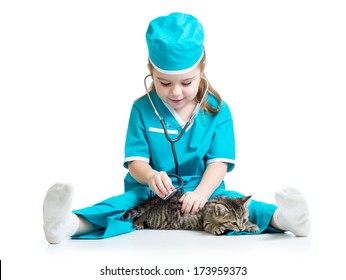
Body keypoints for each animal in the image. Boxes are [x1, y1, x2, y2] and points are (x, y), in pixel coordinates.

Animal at [123, 191, 258, 235]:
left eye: (244, 220)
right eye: (233, 223)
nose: (240, 229)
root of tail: (158, 199)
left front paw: (251, 225)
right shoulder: (205, 221)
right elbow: (210, 225)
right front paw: (217, 227)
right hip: (157, 218)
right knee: (143, 214)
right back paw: (139, 222)